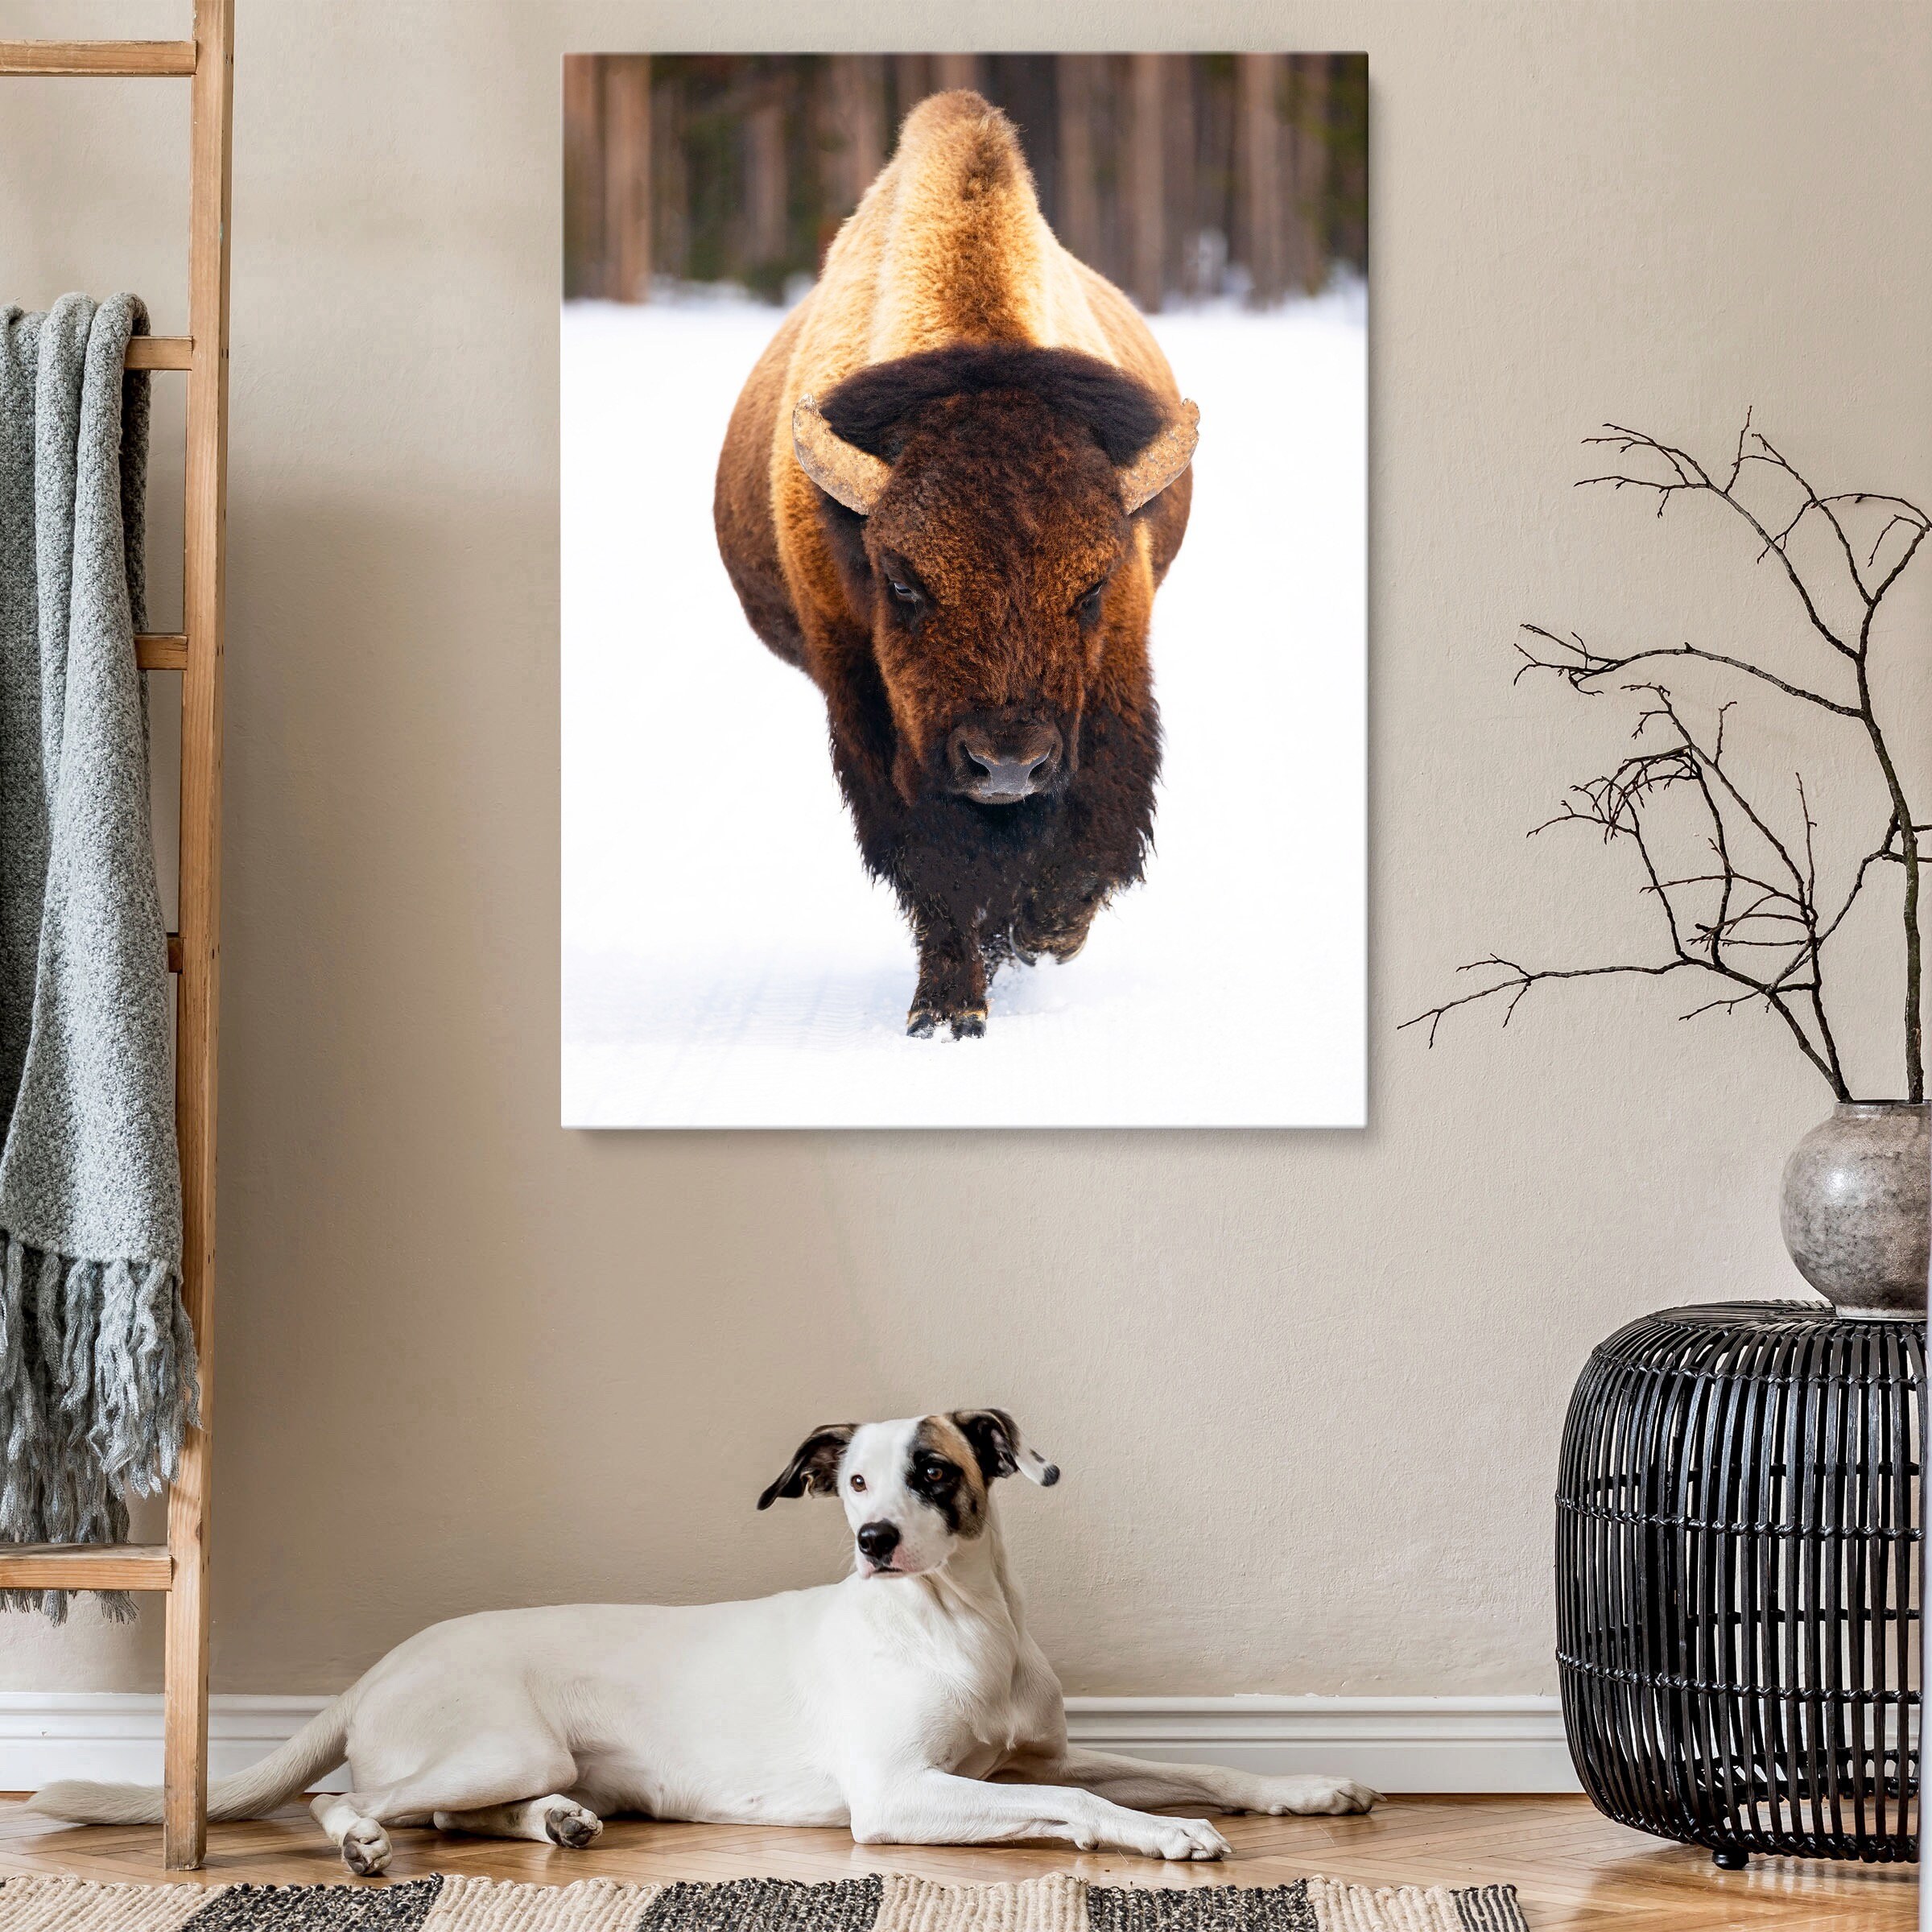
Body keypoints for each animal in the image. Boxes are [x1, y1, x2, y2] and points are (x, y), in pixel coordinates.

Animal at [714, 90, 1198, 1037]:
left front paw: (1044, 937)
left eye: (1090, 585)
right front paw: (949, 1010)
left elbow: (1093, 832)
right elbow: (930, 859)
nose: (1006, 765)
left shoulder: (1118, 664)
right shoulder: (864, 697)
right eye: (902, 581)